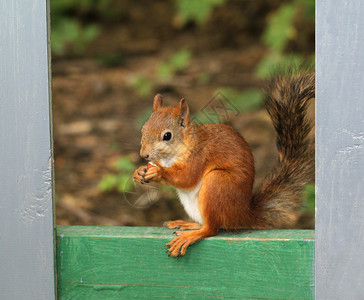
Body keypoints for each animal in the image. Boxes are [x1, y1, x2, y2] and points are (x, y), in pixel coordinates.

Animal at [132, 71, 314, 256]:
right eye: (143, 129)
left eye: (167, 136)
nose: (143, 154)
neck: (172, 155)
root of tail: (243, 214)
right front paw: (139, 172)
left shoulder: (201, 156)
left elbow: (187, 177)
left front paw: (159, 171)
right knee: (205, 223)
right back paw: (186, 224)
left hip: (218, 182)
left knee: (211, 229)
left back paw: (191, 236)